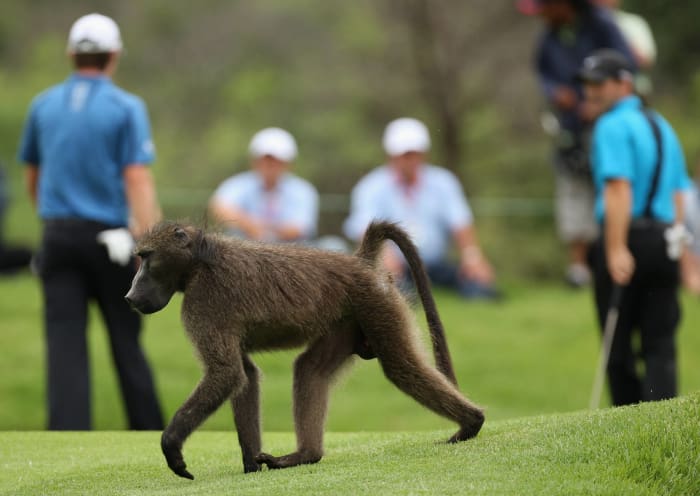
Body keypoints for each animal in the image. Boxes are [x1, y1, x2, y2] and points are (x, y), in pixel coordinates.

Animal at [125, 220, 484, 480]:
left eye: (146, 257)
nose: (129, 295)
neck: (200, 261)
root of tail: (360, 261)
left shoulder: (204, 304)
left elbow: (226, 373)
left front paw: (172, 447)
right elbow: (244, 374)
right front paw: (251, 465)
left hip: (375, 303)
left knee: (401, 367)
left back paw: (472, 422)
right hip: (348, 319)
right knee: (310, 368)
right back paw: (305, 456)